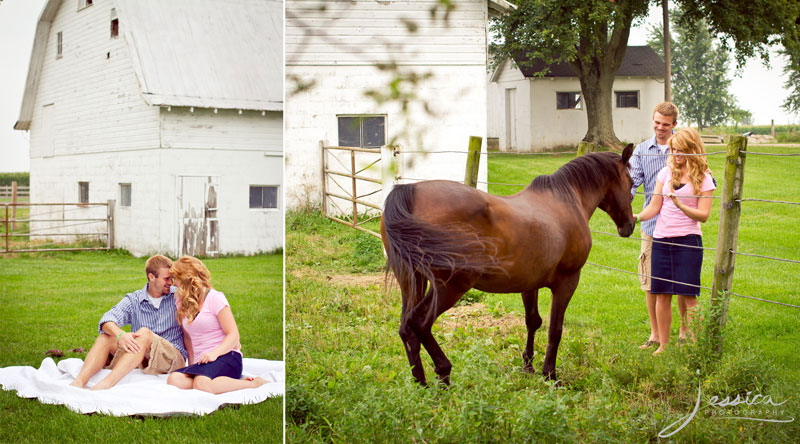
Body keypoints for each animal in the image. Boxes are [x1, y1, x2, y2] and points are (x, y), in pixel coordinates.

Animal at [378, 143, 636, 386]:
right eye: (632, 183)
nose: (629, 225)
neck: (566, 200)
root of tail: (410, 191)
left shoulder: (529, 283)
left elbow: (533, 321)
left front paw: (528, 367)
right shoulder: (567, 282)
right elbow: (555, 329)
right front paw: (550, 375)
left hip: (412, 281)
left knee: (406, 328)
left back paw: (421, 384)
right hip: (449, 286)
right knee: (419, 323)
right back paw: (443, 372)